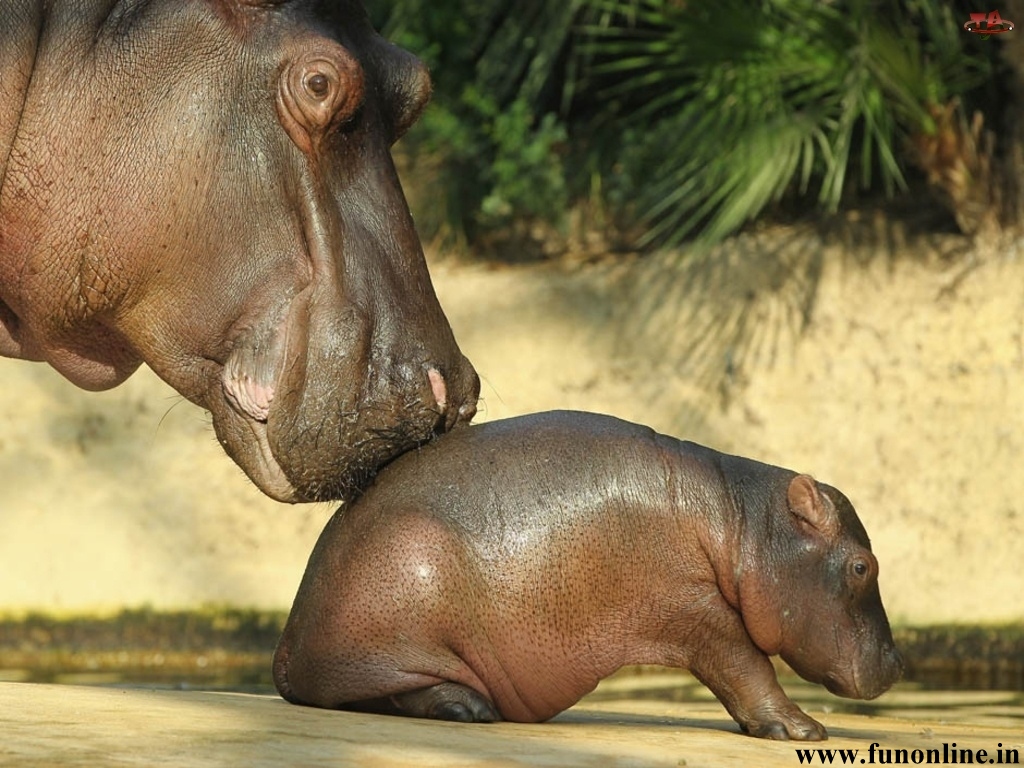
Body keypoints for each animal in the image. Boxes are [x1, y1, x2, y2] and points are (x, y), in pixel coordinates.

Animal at [273, 410, 903, 740]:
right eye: (863, 565)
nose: (898, 663)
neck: (743, 524)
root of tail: (284, 645)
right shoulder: (701, 615)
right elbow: (748, 670)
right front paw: (804, 730)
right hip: (404, 595)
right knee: (383, 694)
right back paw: (468, 709)